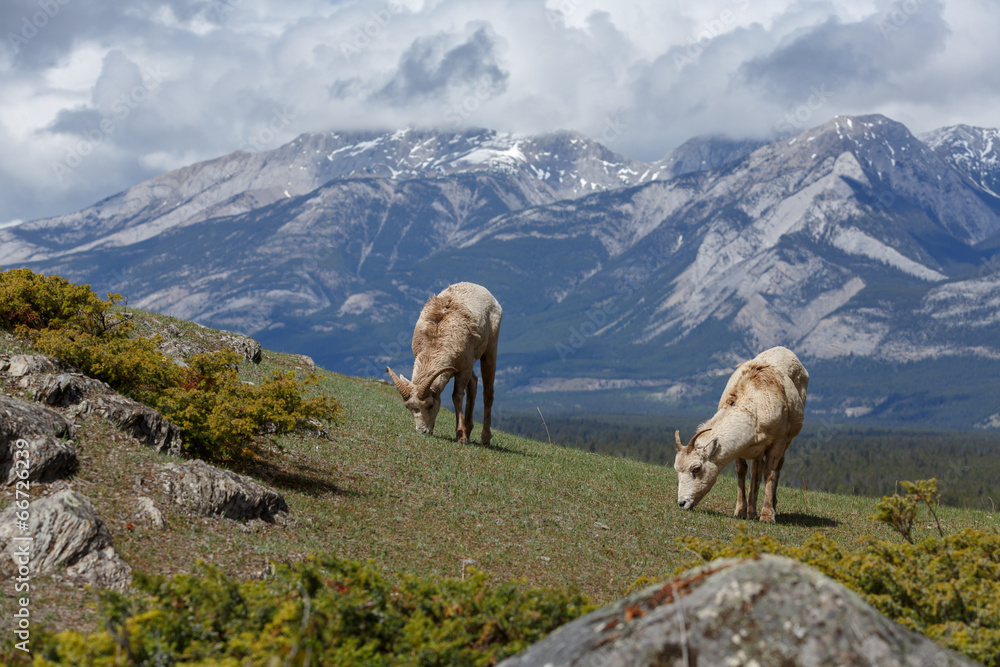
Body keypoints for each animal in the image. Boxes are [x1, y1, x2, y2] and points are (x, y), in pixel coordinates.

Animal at [386, 282, 502, 446]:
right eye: (408, 407)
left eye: (429, 405)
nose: (422, 431)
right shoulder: (463, 366)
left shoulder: (464, 368)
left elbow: (457, 396)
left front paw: (461, 437)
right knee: (474, 383)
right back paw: (469, 429)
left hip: (490, 351)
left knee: (488, 393)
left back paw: (485, 438)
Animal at [674, 346, 808, 523]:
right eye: (677, 469)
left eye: (696, 469)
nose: (682, 503)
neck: (755, 407)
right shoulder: (740, 450)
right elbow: (742, 471)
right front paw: (740, 511)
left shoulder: (778, 441)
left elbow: (770, 473)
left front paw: (767, 516)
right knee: (756, 469)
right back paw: (751, 511)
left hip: (787, 441)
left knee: (775, 467)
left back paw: (770, 506)